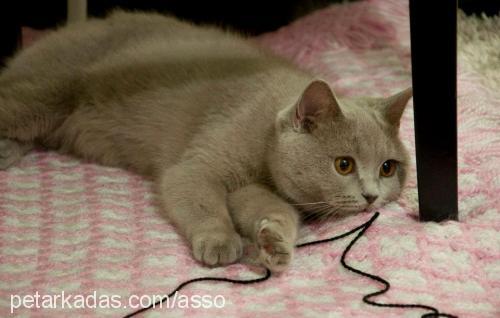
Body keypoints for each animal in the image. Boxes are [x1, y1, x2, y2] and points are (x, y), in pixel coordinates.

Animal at [0, 11, 412, 272]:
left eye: (387, 168)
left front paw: (274, 242)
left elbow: (274, 210)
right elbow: (199, 198)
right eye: (344, 165)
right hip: (43, 93)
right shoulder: (198, 166)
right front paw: (219, 240)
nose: (371, 196)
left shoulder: (251, 188)